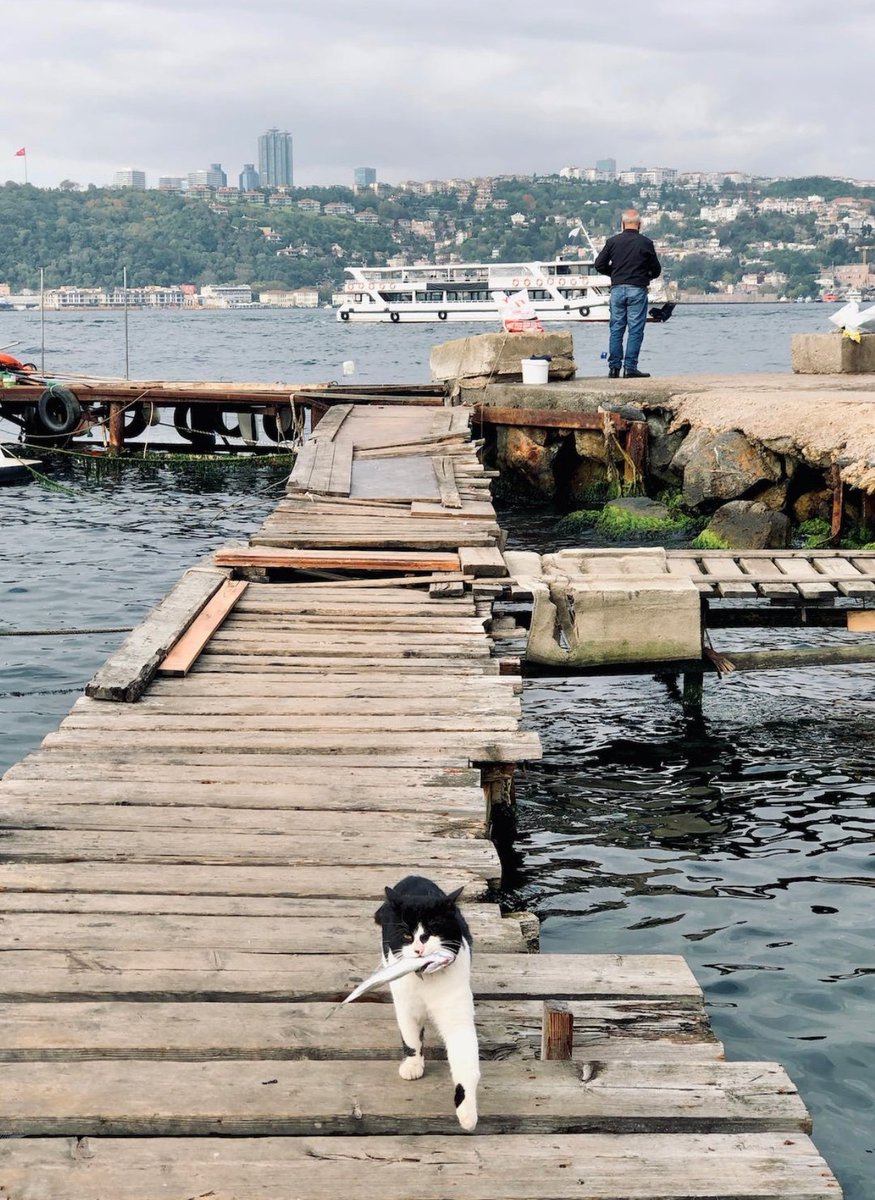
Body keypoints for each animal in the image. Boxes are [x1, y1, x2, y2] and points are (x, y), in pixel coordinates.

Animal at [374, 878, 477, 1128]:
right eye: (407, 936)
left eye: (433, 931)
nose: (420, 950)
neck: (427, 981)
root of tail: (413, 877)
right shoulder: (405, 1004)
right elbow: (411, 1037)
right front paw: (412, 1066)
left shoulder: (456, 1012)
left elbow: (465, 1060)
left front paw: (467, 1112)